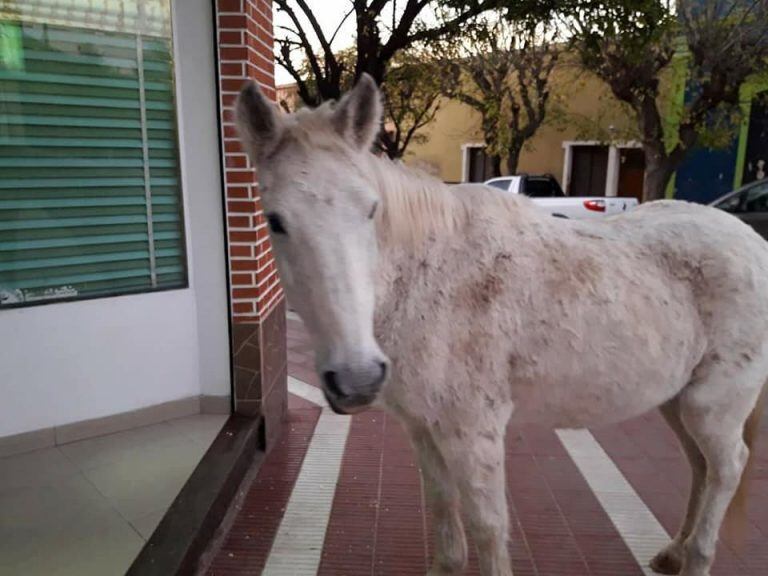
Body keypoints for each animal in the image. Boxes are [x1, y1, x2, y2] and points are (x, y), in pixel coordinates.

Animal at [236, 76, 768, 576]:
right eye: (275, 220)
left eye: (371, 210)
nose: (356, 379)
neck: (430, 279)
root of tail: (753, 243)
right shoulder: (423, 428)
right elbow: (443, 515)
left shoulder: (474, 432)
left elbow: (487, 530)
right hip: (678, 401)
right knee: (700, 467)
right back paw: (674, 553)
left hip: (712, 405)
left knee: (727, 468)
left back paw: (696, 558)